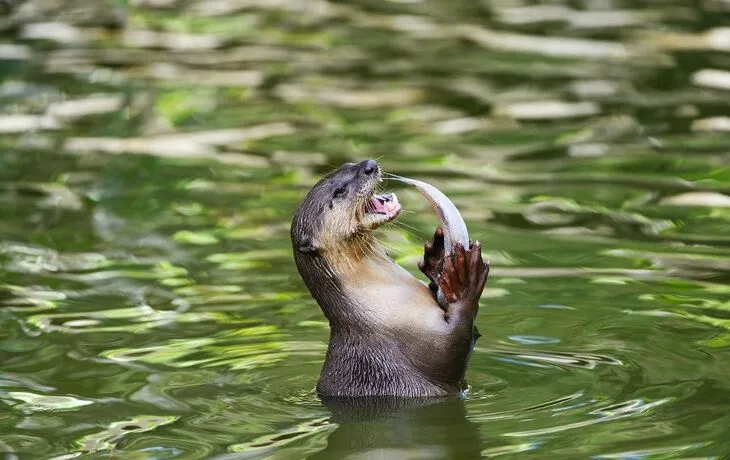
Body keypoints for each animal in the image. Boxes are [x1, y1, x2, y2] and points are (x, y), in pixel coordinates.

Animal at [290, 160, 490, 398]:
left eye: (349, 164)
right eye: (340, 191)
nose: (369, 165)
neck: (375, 314)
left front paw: (438, 261)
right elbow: (453, 349)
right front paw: (464, 279)